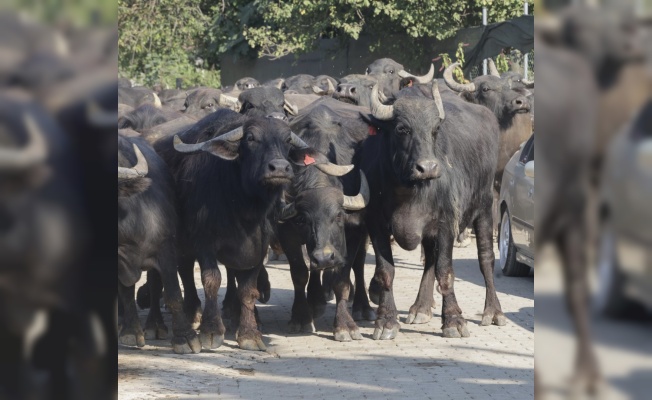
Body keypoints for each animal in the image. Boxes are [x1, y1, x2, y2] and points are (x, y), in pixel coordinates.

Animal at [117, 132, 199, 354]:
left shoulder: (166, 250)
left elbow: (173, 293)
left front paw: (185, 338)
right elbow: (125, 293)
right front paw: (130, 332)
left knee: (155, 286)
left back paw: (155, 325)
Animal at [155, 109, 348, 350]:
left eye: (287, 140)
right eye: (251, 138)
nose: (280, 168)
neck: (243, 207)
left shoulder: (258, 247)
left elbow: (247, 289)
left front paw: (249, 334)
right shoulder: (204, 242)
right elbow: (211, 280)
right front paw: (211, 331)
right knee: (186, 271)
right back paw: (193, 314)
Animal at [278, 97, 374, 340]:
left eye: (338, 216)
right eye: (303, 220)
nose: (323, 257)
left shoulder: (353, 230)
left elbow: (342, 276)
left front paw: (344, 325)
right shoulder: (287, 232)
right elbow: (299, 273)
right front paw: (301, 318)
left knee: (359, 264)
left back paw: (363, 307)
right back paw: (315, 300)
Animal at [354, 84, 506, 340]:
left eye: (434, 130)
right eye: (402, 129)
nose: (428, 168)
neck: (408, 191)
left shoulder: (446, 224)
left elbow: (446, 272)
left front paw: (454, 321)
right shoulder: (376, 225)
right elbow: (386, 272)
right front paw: (386, 321)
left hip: (485, 207)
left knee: (486, 259)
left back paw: (493, 312)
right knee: (429, 261)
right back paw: (421, 307)